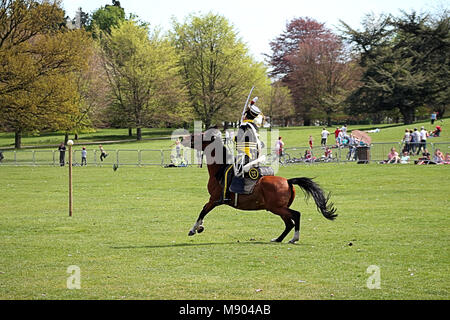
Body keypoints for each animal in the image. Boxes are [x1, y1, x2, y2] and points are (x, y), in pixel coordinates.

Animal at [181, 129, 336, 242]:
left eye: (198, 136)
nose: (182, 138)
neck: (219, 169)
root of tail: (287, 181)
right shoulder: (214, 200)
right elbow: (203, 211)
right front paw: (199, 227)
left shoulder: (214, 199)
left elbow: (202, 211)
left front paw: (194, 229)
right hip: (278, 208)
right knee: (289, 223)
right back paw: (278, 239)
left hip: (276, 207)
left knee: (296, 216)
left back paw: (294, 239)